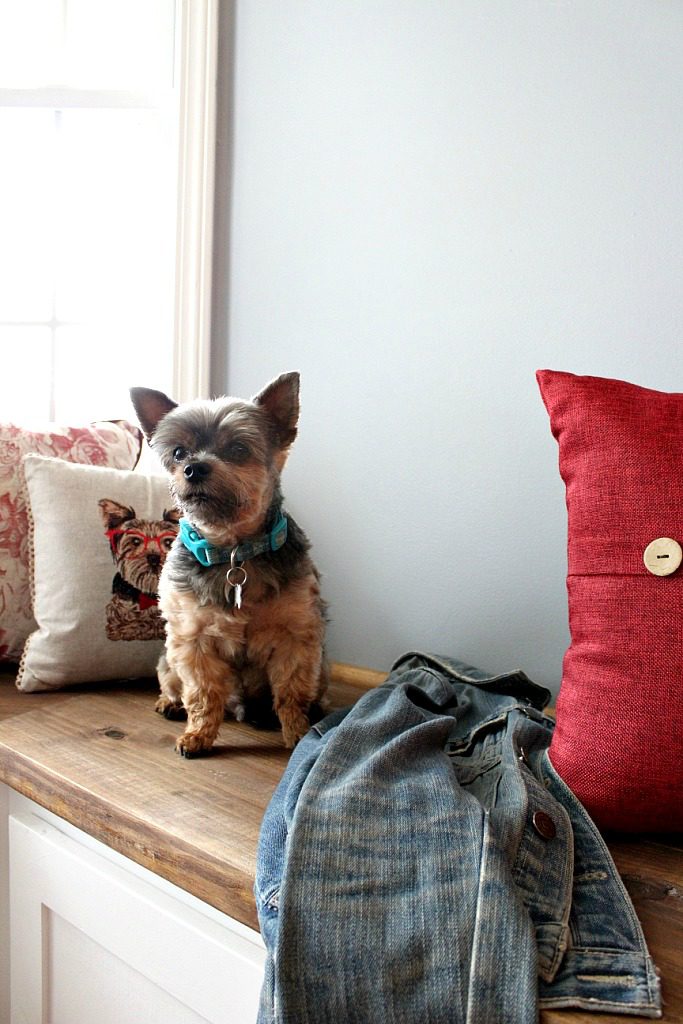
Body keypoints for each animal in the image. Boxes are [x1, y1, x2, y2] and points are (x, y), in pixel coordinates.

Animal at [132, 372, 329, 757]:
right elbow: (203, 694)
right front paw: (198, 736)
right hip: (169, 656)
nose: (194, 468)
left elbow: (291, 693)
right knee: (172, 681)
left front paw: (298, 734)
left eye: (238, 449)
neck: (234, 551)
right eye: (178, 453)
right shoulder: (193, 640)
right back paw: (170, 704)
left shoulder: (296, 637)